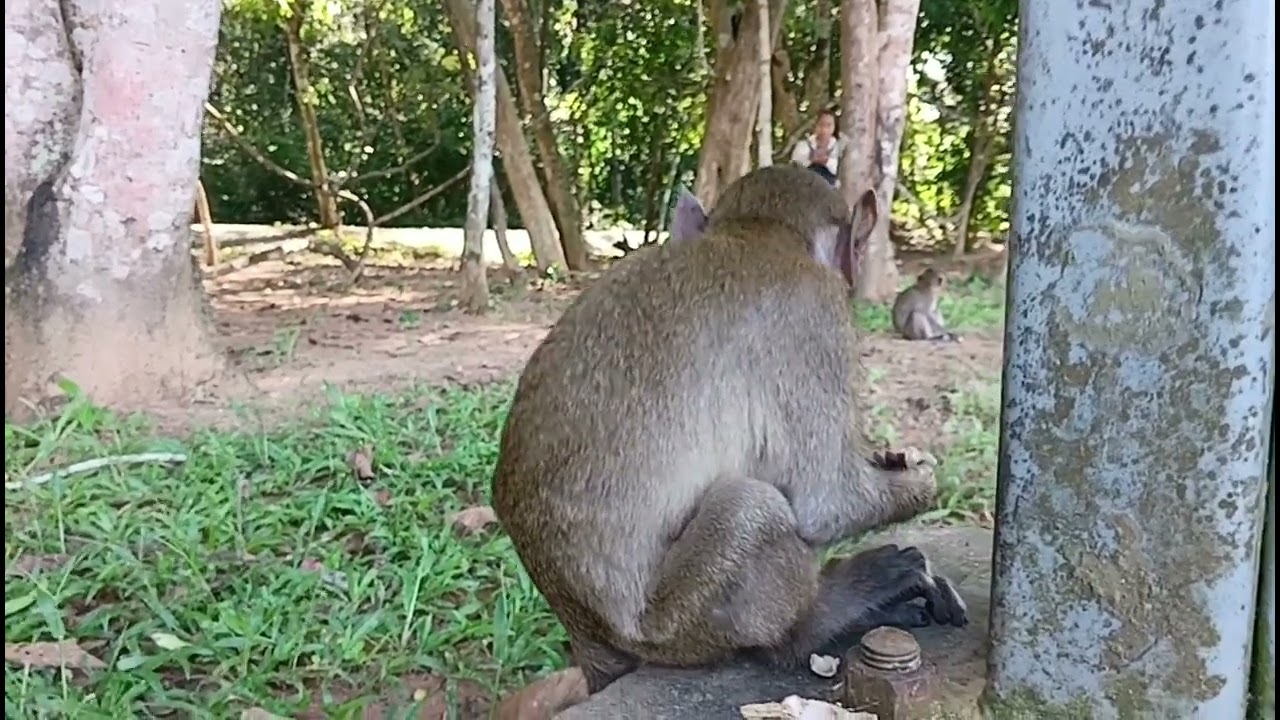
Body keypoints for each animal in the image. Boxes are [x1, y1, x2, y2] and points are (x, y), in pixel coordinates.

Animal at [491, 165, 968, 698]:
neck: (757, 234)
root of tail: (586, 634)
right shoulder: (816, 317)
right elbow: (828, 503)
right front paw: (920, 481)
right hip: (679, 624)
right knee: (752, 505)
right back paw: (817, 623)